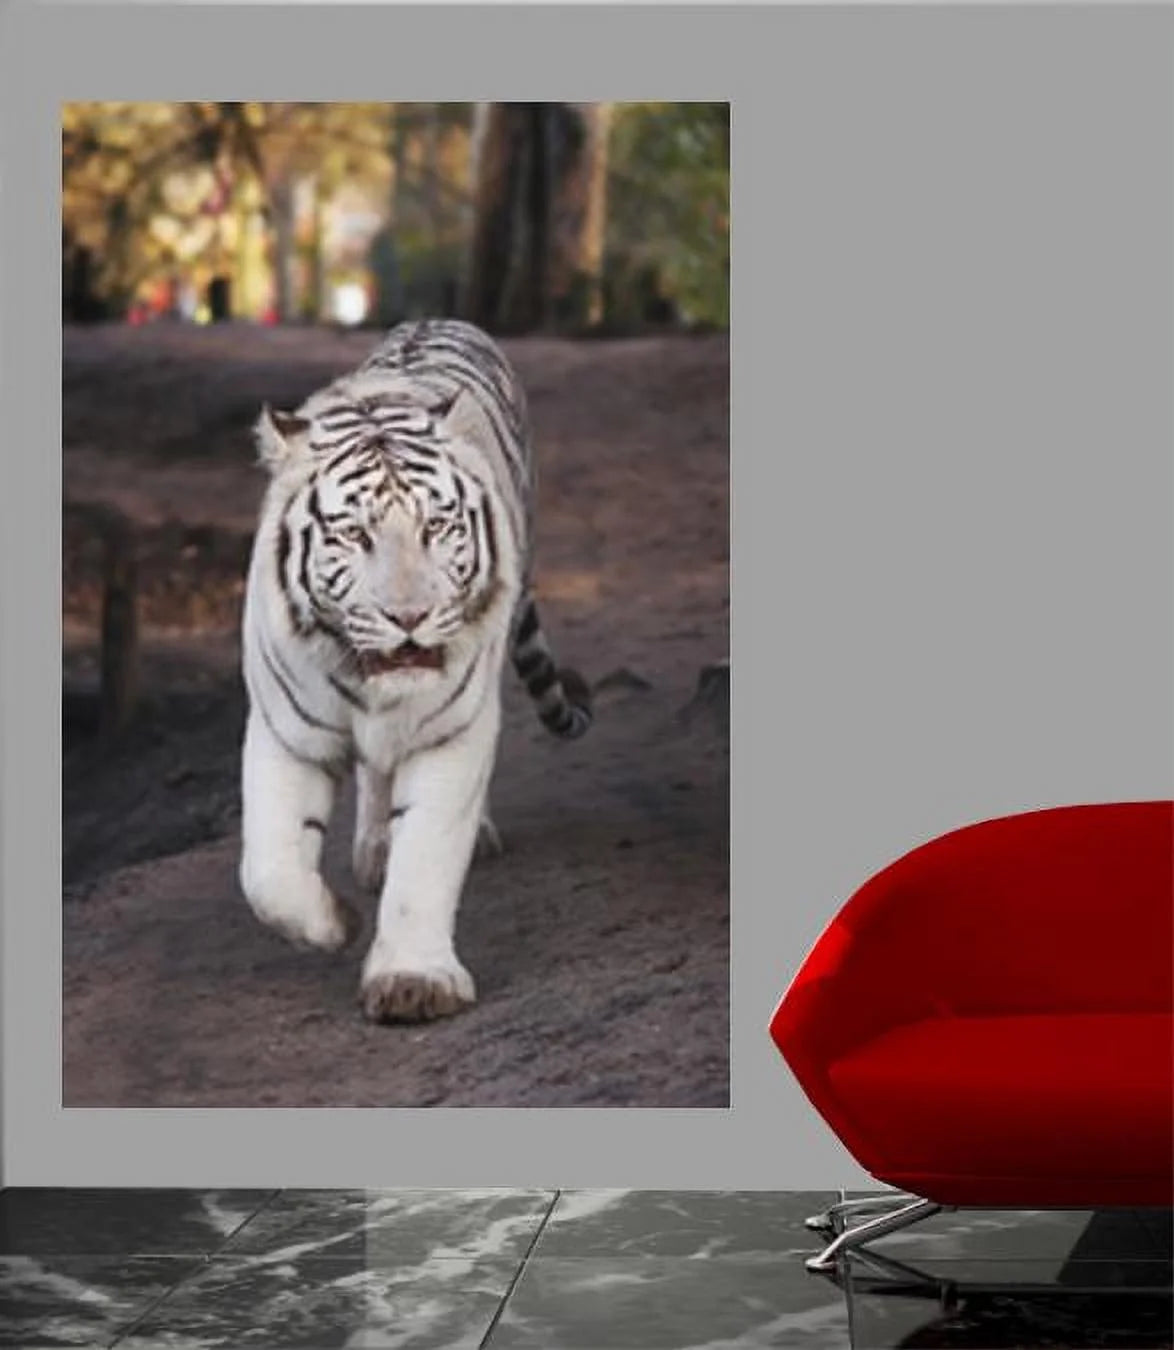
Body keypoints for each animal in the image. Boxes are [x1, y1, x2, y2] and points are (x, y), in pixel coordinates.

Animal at [238, 318, 592, 1024]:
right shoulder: (286, 732)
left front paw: (413, 982)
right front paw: (335, 922)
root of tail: (438, 320)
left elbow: (426, 857)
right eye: (353, 535)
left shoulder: (450, 734)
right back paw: (373, 851)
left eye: (438, 526)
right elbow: (268, 871)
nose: (410, 617)